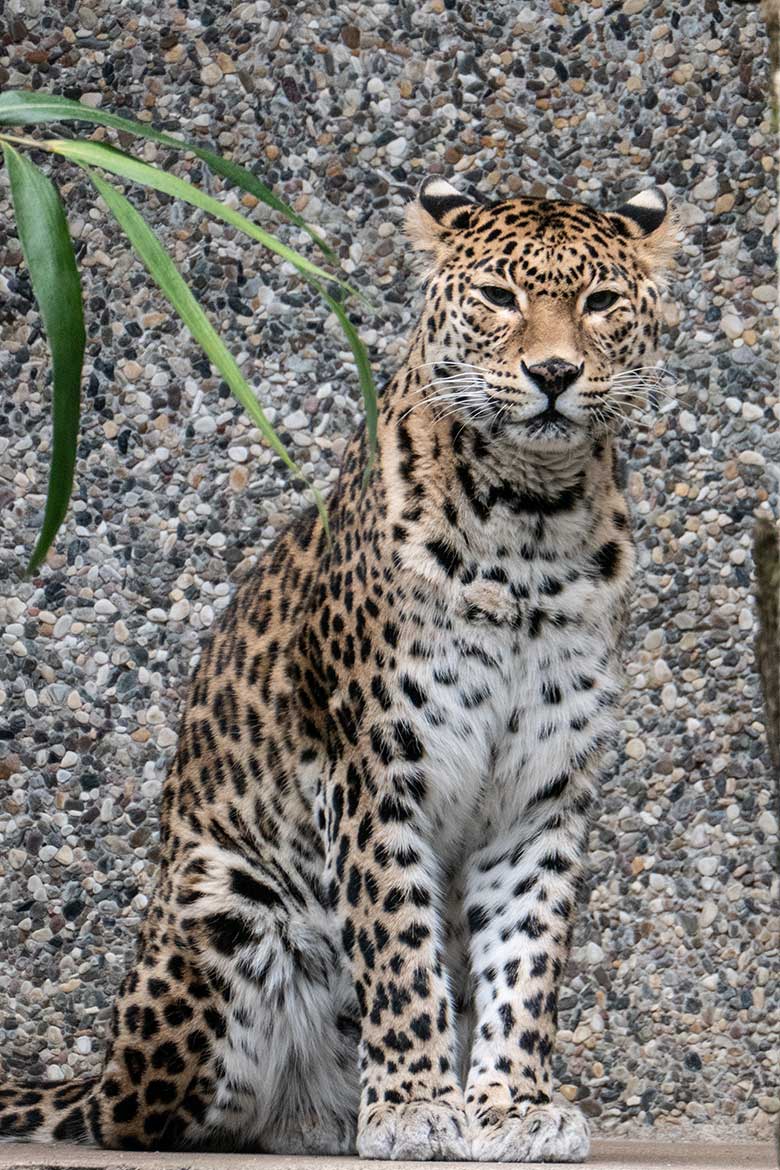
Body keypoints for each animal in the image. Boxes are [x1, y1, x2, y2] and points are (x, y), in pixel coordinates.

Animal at [0, 173, 678, 1160]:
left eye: (599, 302)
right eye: (499, 297)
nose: (554, 374)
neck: (532, 518)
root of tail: (100, 1071)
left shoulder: (543, 790)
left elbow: (527, 955)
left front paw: (514, 1103)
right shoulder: (372, 768)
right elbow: (397, 947)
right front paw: (415, 1104)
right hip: (225, 901)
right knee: (159, 1123)